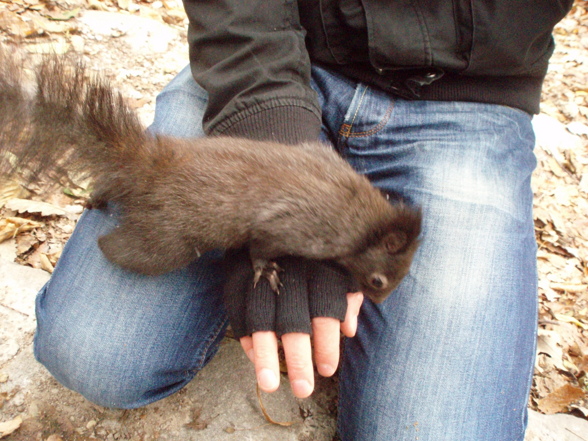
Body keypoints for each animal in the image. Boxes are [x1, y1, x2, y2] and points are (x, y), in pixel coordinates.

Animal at [1, 47, 422, 302]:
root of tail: (151, 167)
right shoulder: (297, 227)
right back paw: (105, 245)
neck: (366, 220)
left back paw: (98, 195)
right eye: (379, 281)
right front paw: (266, 271)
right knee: (126, 248)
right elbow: (261, 246)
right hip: (167, 238)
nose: (374, 300)